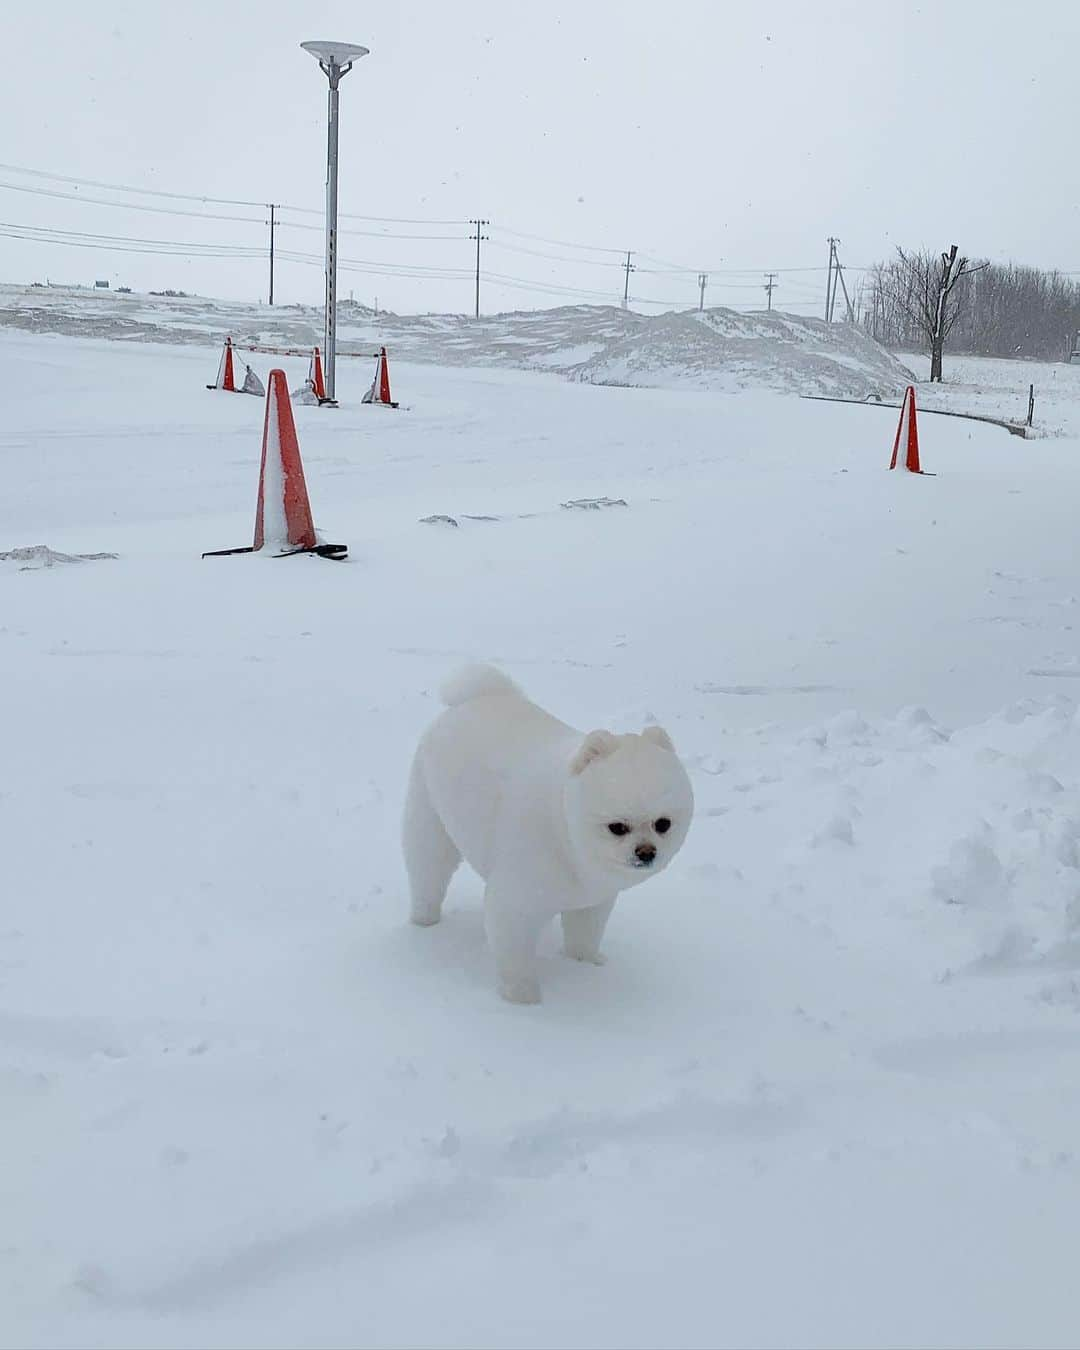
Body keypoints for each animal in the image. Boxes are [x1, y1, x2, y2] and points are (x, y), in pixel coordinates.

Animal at [402, 664, 691, 1004]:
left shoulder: (593, 899)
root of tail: (475, 696)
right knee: (428, 869)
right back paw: (425, 919)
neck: (566, 832)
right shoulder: (517, 895)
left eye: (663, 824)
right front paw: (524, 999)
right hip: (430, 813)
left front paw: (585, 965)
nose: (646, 852)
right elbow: (513, 947)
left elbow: (585, 932)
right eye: (618, 827)